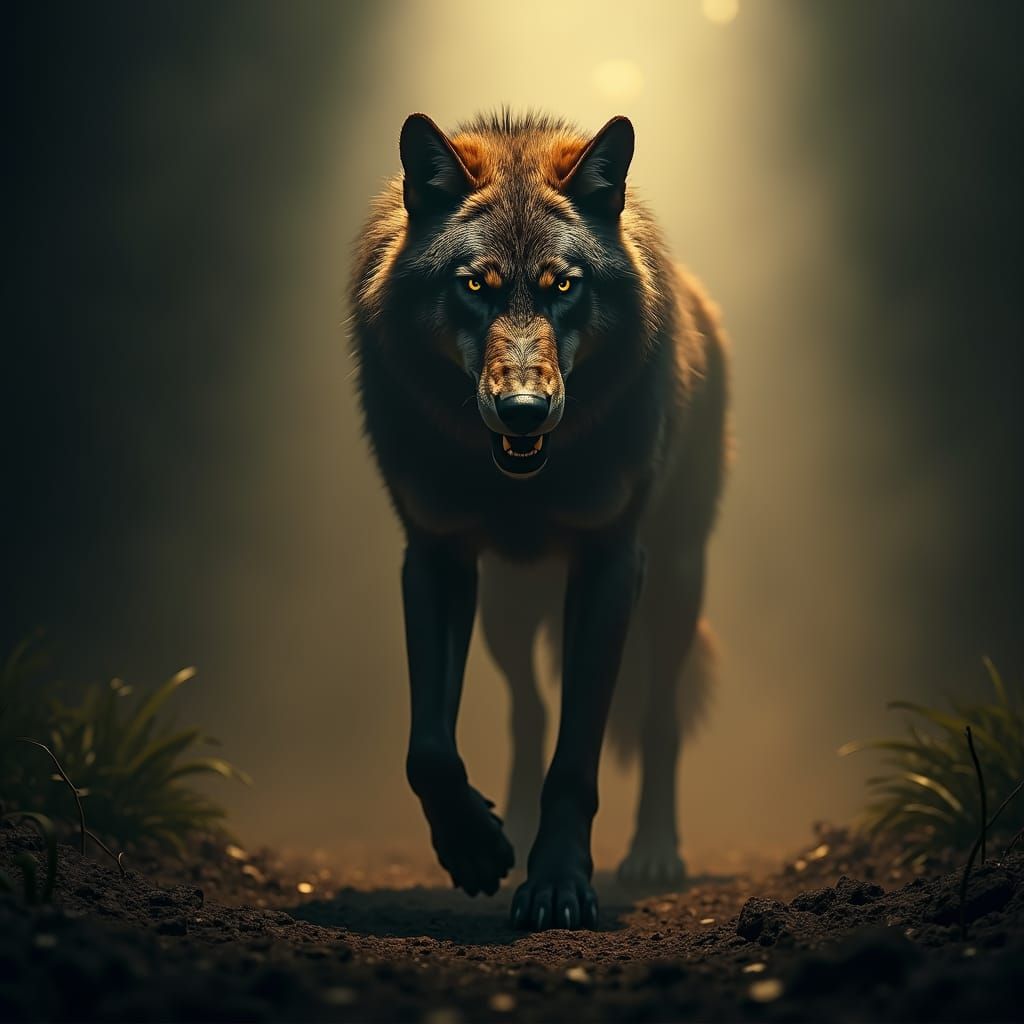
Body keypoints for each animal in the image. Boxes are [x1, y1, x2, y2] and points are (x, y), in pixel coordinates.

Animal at [350, 111, 728, 931]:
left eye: (564, 287)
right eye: (474, 286)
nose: (523, 409)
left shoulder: (612, 561)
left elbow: (578, 754)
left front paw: (557, 884)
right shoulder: (434, 553)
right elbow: (430, 745)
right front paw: (474, 849)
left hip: (676, 580)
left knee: (659, 716)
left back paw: (655, 852)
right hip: (509, 608)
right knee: (526, 711)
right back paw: (514, 824)